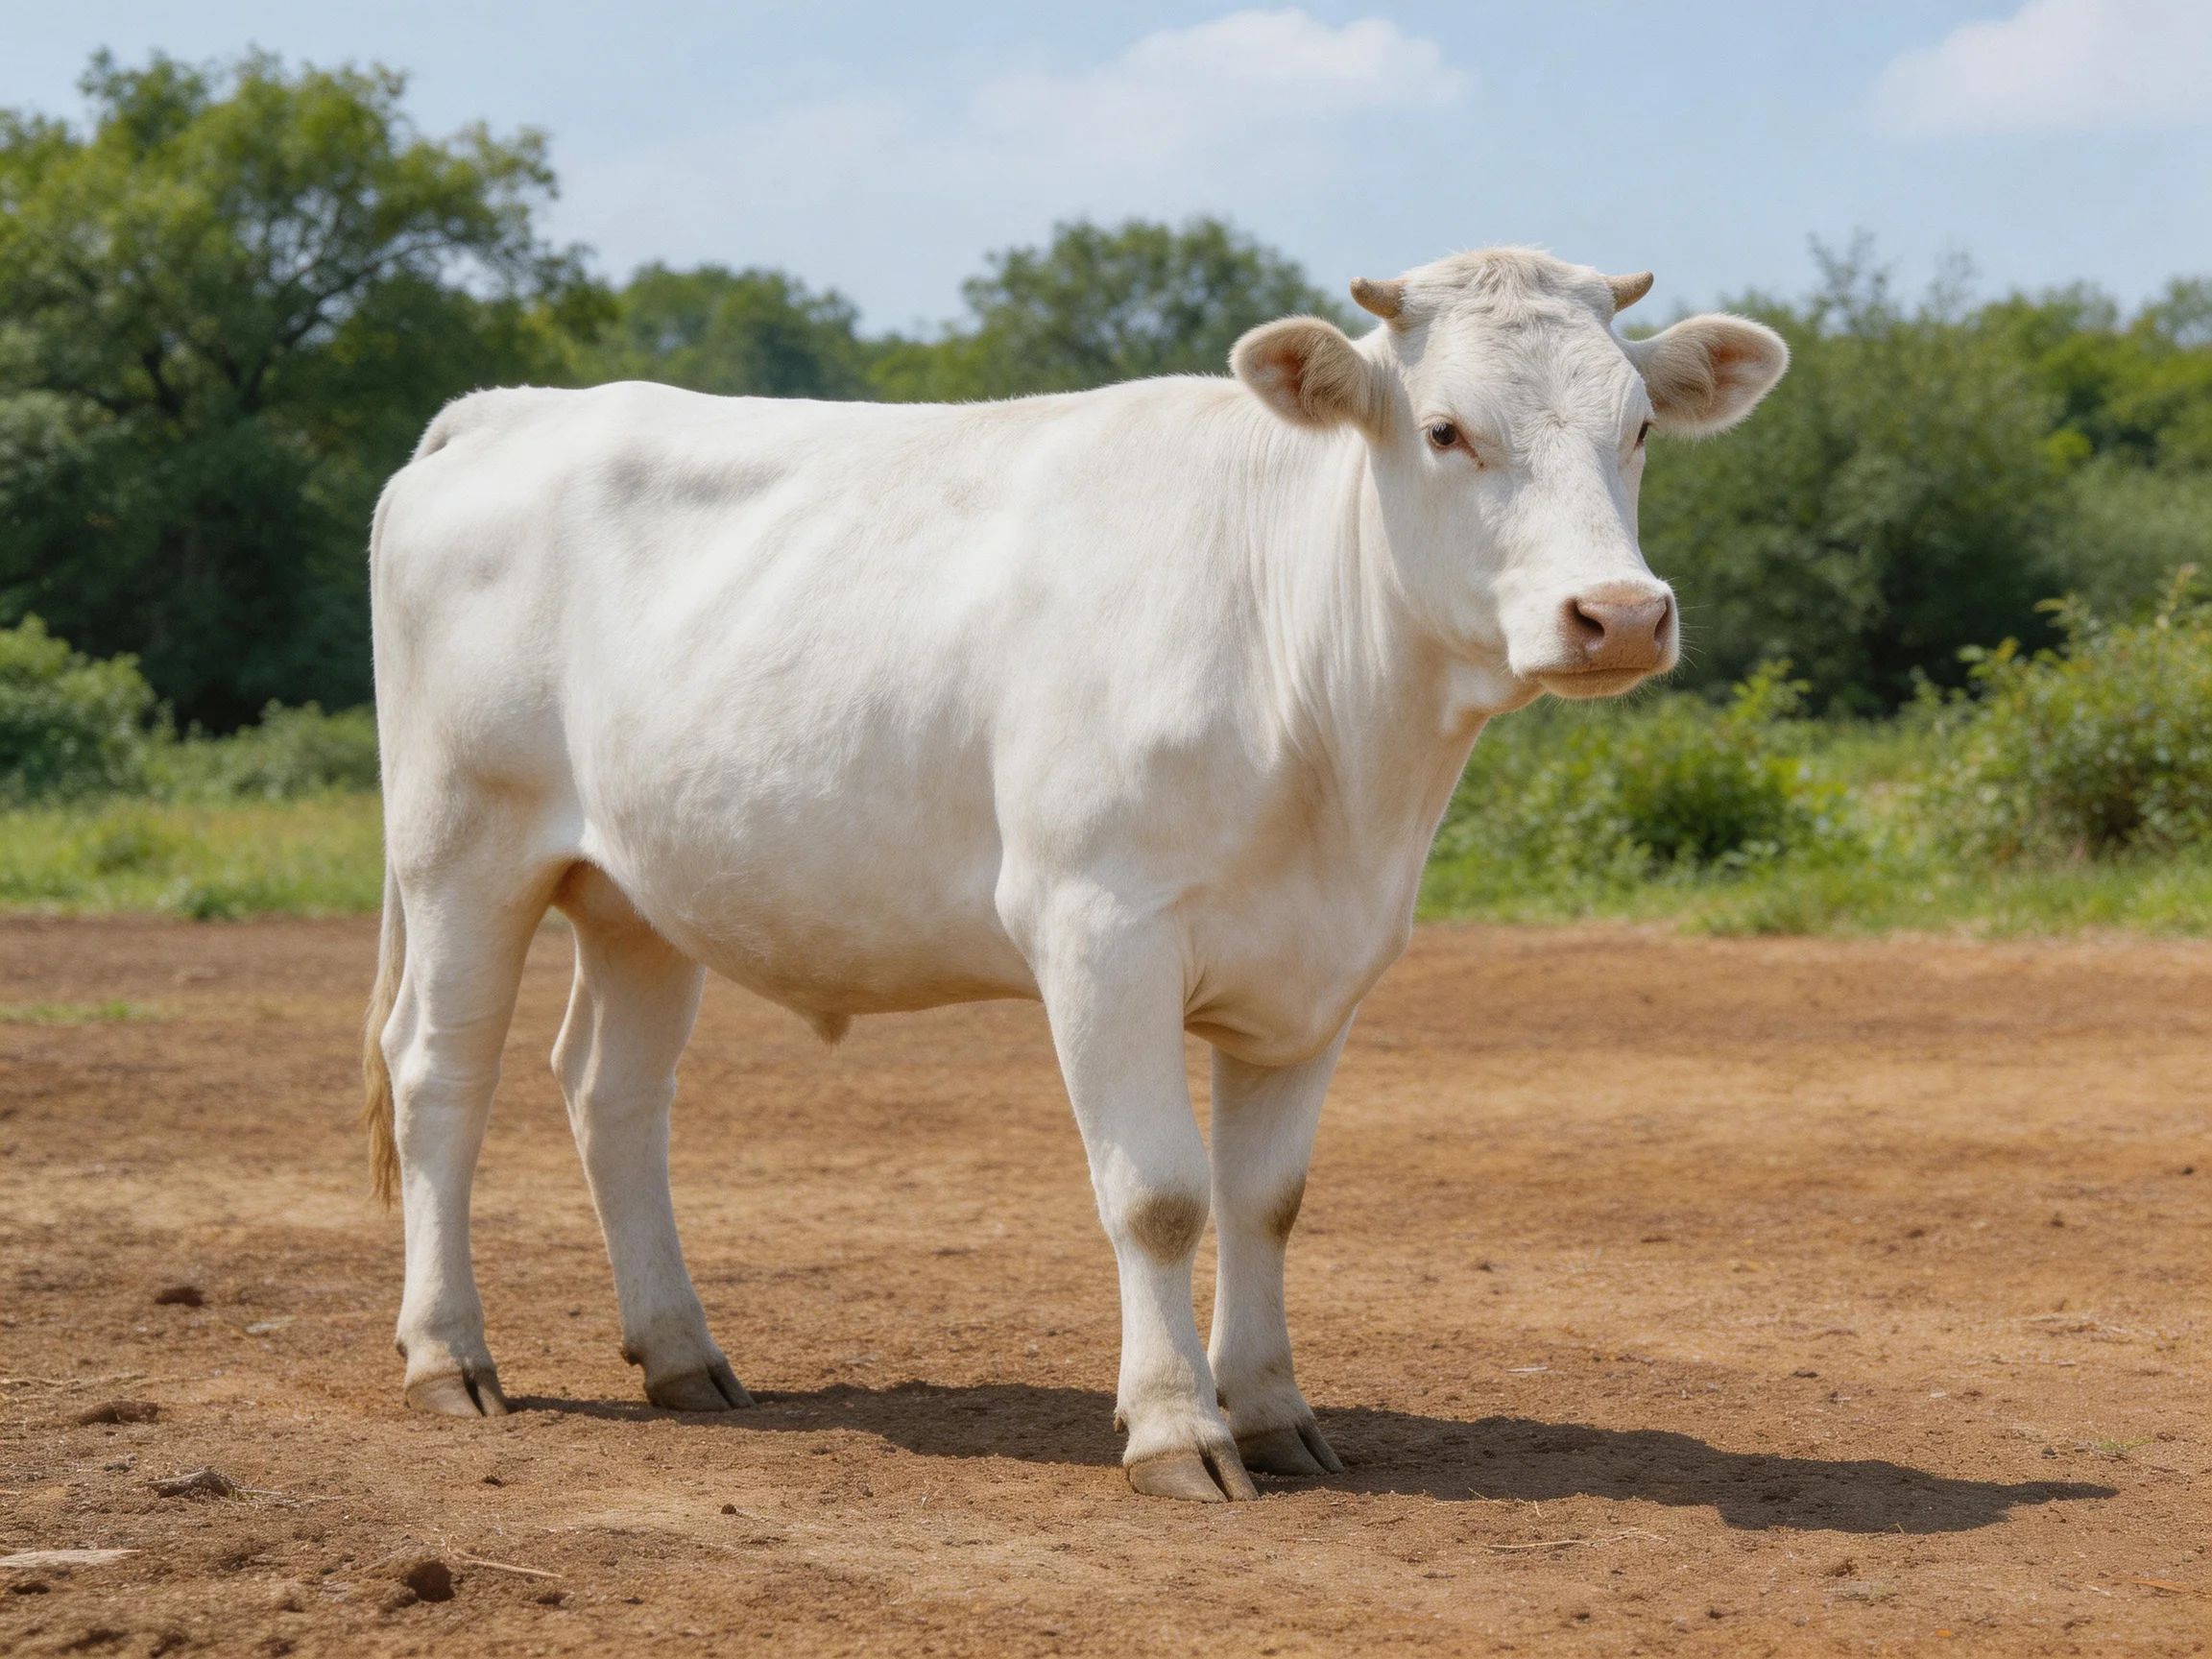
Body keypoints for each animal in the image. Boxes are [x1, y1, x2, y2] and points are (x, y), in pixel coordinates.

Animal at [362, 247, 1787, 1502]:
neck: (1339, 753)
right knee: (438, 1076)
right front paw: (1176, 1431)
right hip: (463, 845)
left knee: (613, 1095)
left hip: (639, 891)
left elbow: (1266, 1200)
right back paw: (447, 1357)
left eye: (1639, 426)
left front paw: (1272, 1414)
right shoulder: (1101, 930)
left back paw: (682, 1355)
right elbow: (1158, 1196)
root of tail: (516, 410)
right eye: (1444, 430)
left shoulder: (1318, 968)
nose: (1620, 613)